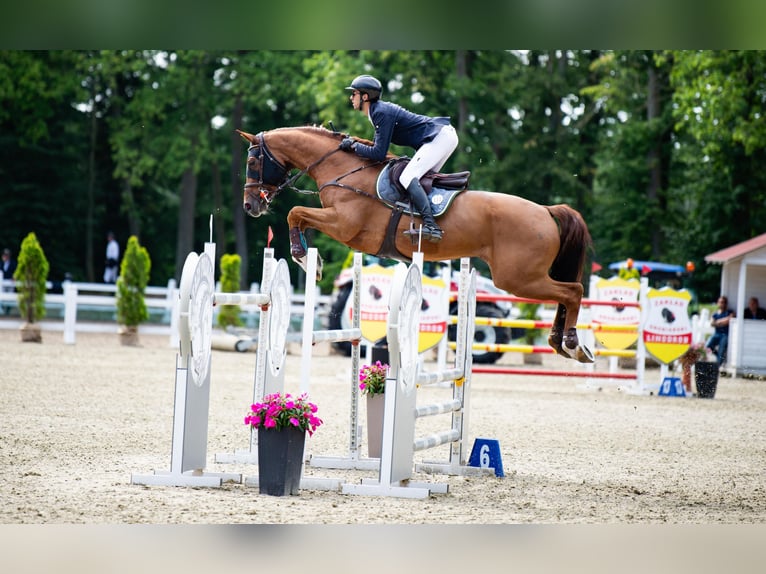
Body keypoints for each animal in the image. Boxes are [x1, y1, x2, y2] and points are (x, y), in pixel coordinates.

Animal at [237, 126, 594, 363]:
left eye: (253, 162)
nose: (250, 206)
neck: (343, 170)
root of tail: (546, 210)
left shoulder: (344, 225)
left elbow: (295, 212)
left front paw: (303, 258)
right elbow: (297, 215)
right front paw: (309, 259)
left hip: (517, 278)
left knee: (572, 291)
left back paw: (572, 344)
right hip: (521, 278)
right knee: (567, 293)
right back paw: (561, 342)